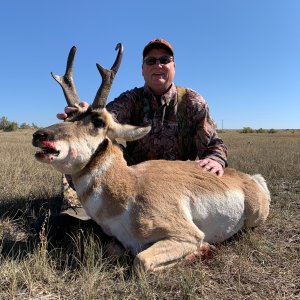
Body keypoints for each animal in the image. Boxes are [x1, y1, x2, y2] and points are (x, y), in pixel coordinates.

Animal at [31, 44, 270, 272]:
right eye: (68, 116)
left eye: (98, 122)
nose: (39, 135)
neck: (129, 188)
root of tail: (250, 179)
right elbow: (112, 250)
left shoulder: (186, 235)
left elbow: (141, 261)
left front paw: (203, 250)